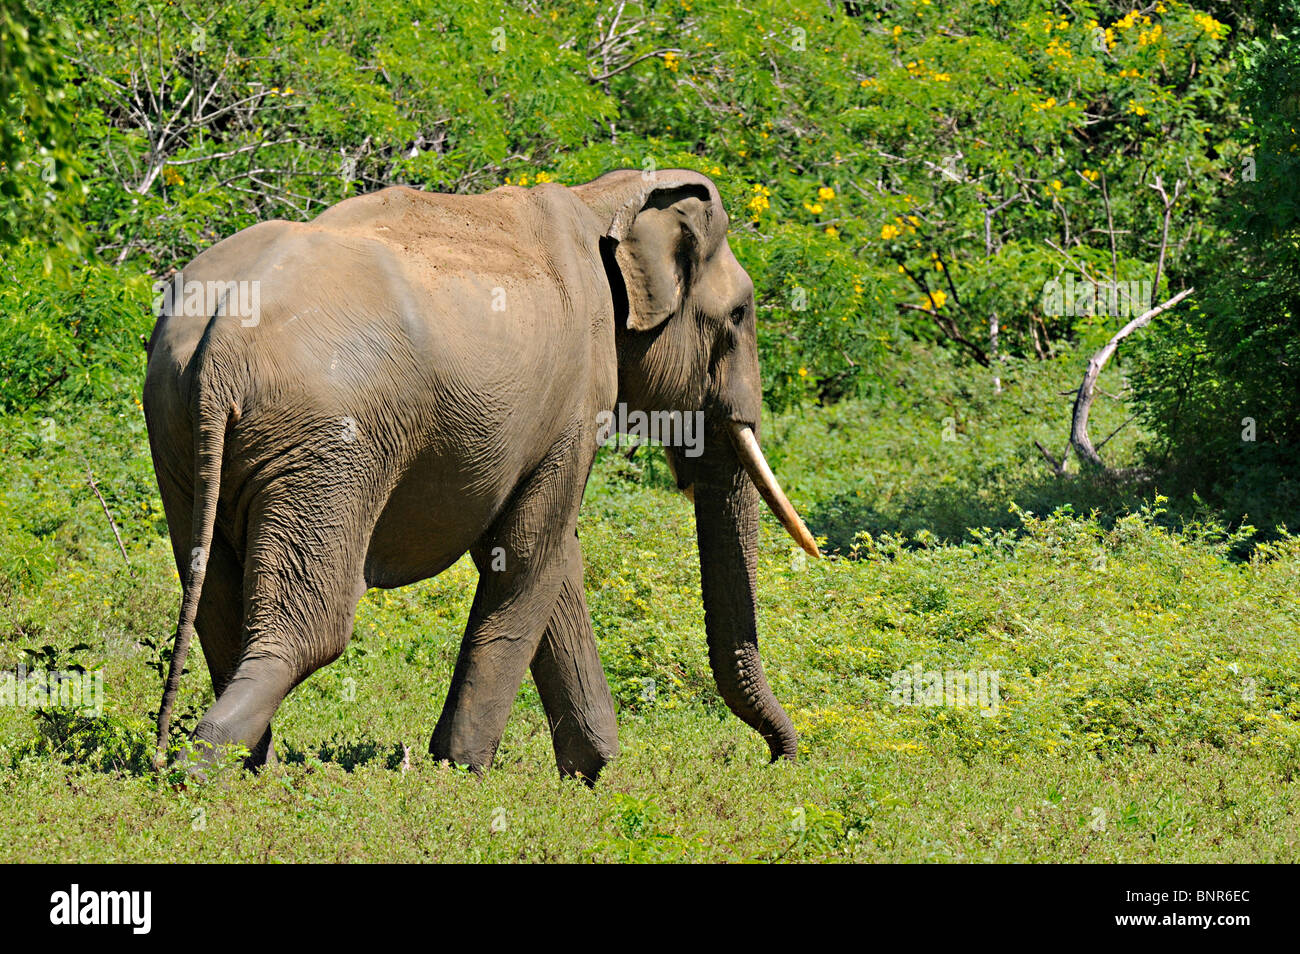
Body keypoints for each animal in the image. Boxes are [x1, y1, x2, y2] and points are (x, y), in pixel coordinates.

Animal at [147, 167, 816, 779]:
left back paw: (236, 766)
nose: (778, 761)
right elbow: (530, 551)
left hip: (182, 438)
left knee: (217, 604)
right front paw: (464, 771)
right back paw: (205, 773)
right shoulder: (577, 394)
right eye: (739, 316)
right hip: (328, 443)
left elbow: (547, 556)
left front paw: (589, 773)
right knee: (311, 629)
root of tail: (220, 344)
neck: (605, 197)